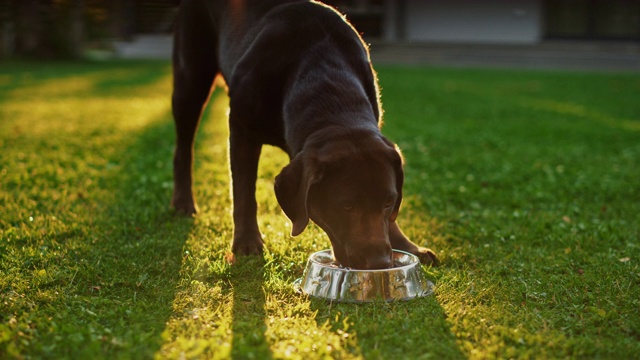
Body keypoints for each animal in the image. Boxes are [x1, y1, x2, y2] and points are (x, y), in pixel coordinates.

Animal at [172, 0, 438, 268]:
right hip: (190, 78)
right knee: (183, 148)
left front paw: (407, 246)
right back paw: (183, 202)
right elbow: (244, 192)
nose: (380, 263)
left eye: (388, 202)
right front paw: (246, 242)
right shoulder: (241, 126)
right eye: (346, 206)